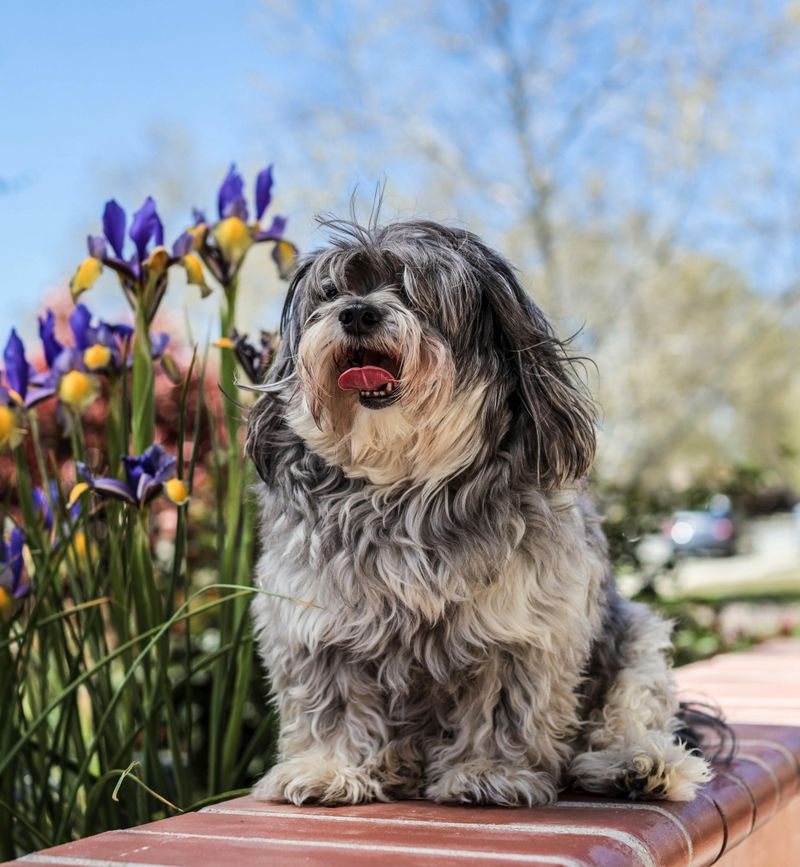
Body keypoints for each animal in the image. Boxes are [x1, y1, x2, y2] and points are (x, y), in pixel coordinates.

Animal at [245, 217, 724, 808]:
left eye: (414, 290)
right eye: (331, 293)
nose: (357, 312)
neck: (403, 482)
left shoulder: (518, 628)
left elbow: (503, 708)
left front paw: (488, 772)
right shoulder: (318, 623)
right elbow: (329, 706)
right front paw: (327, 768)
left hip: (636, 636)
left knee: (629, 712)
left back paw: (636, 764)